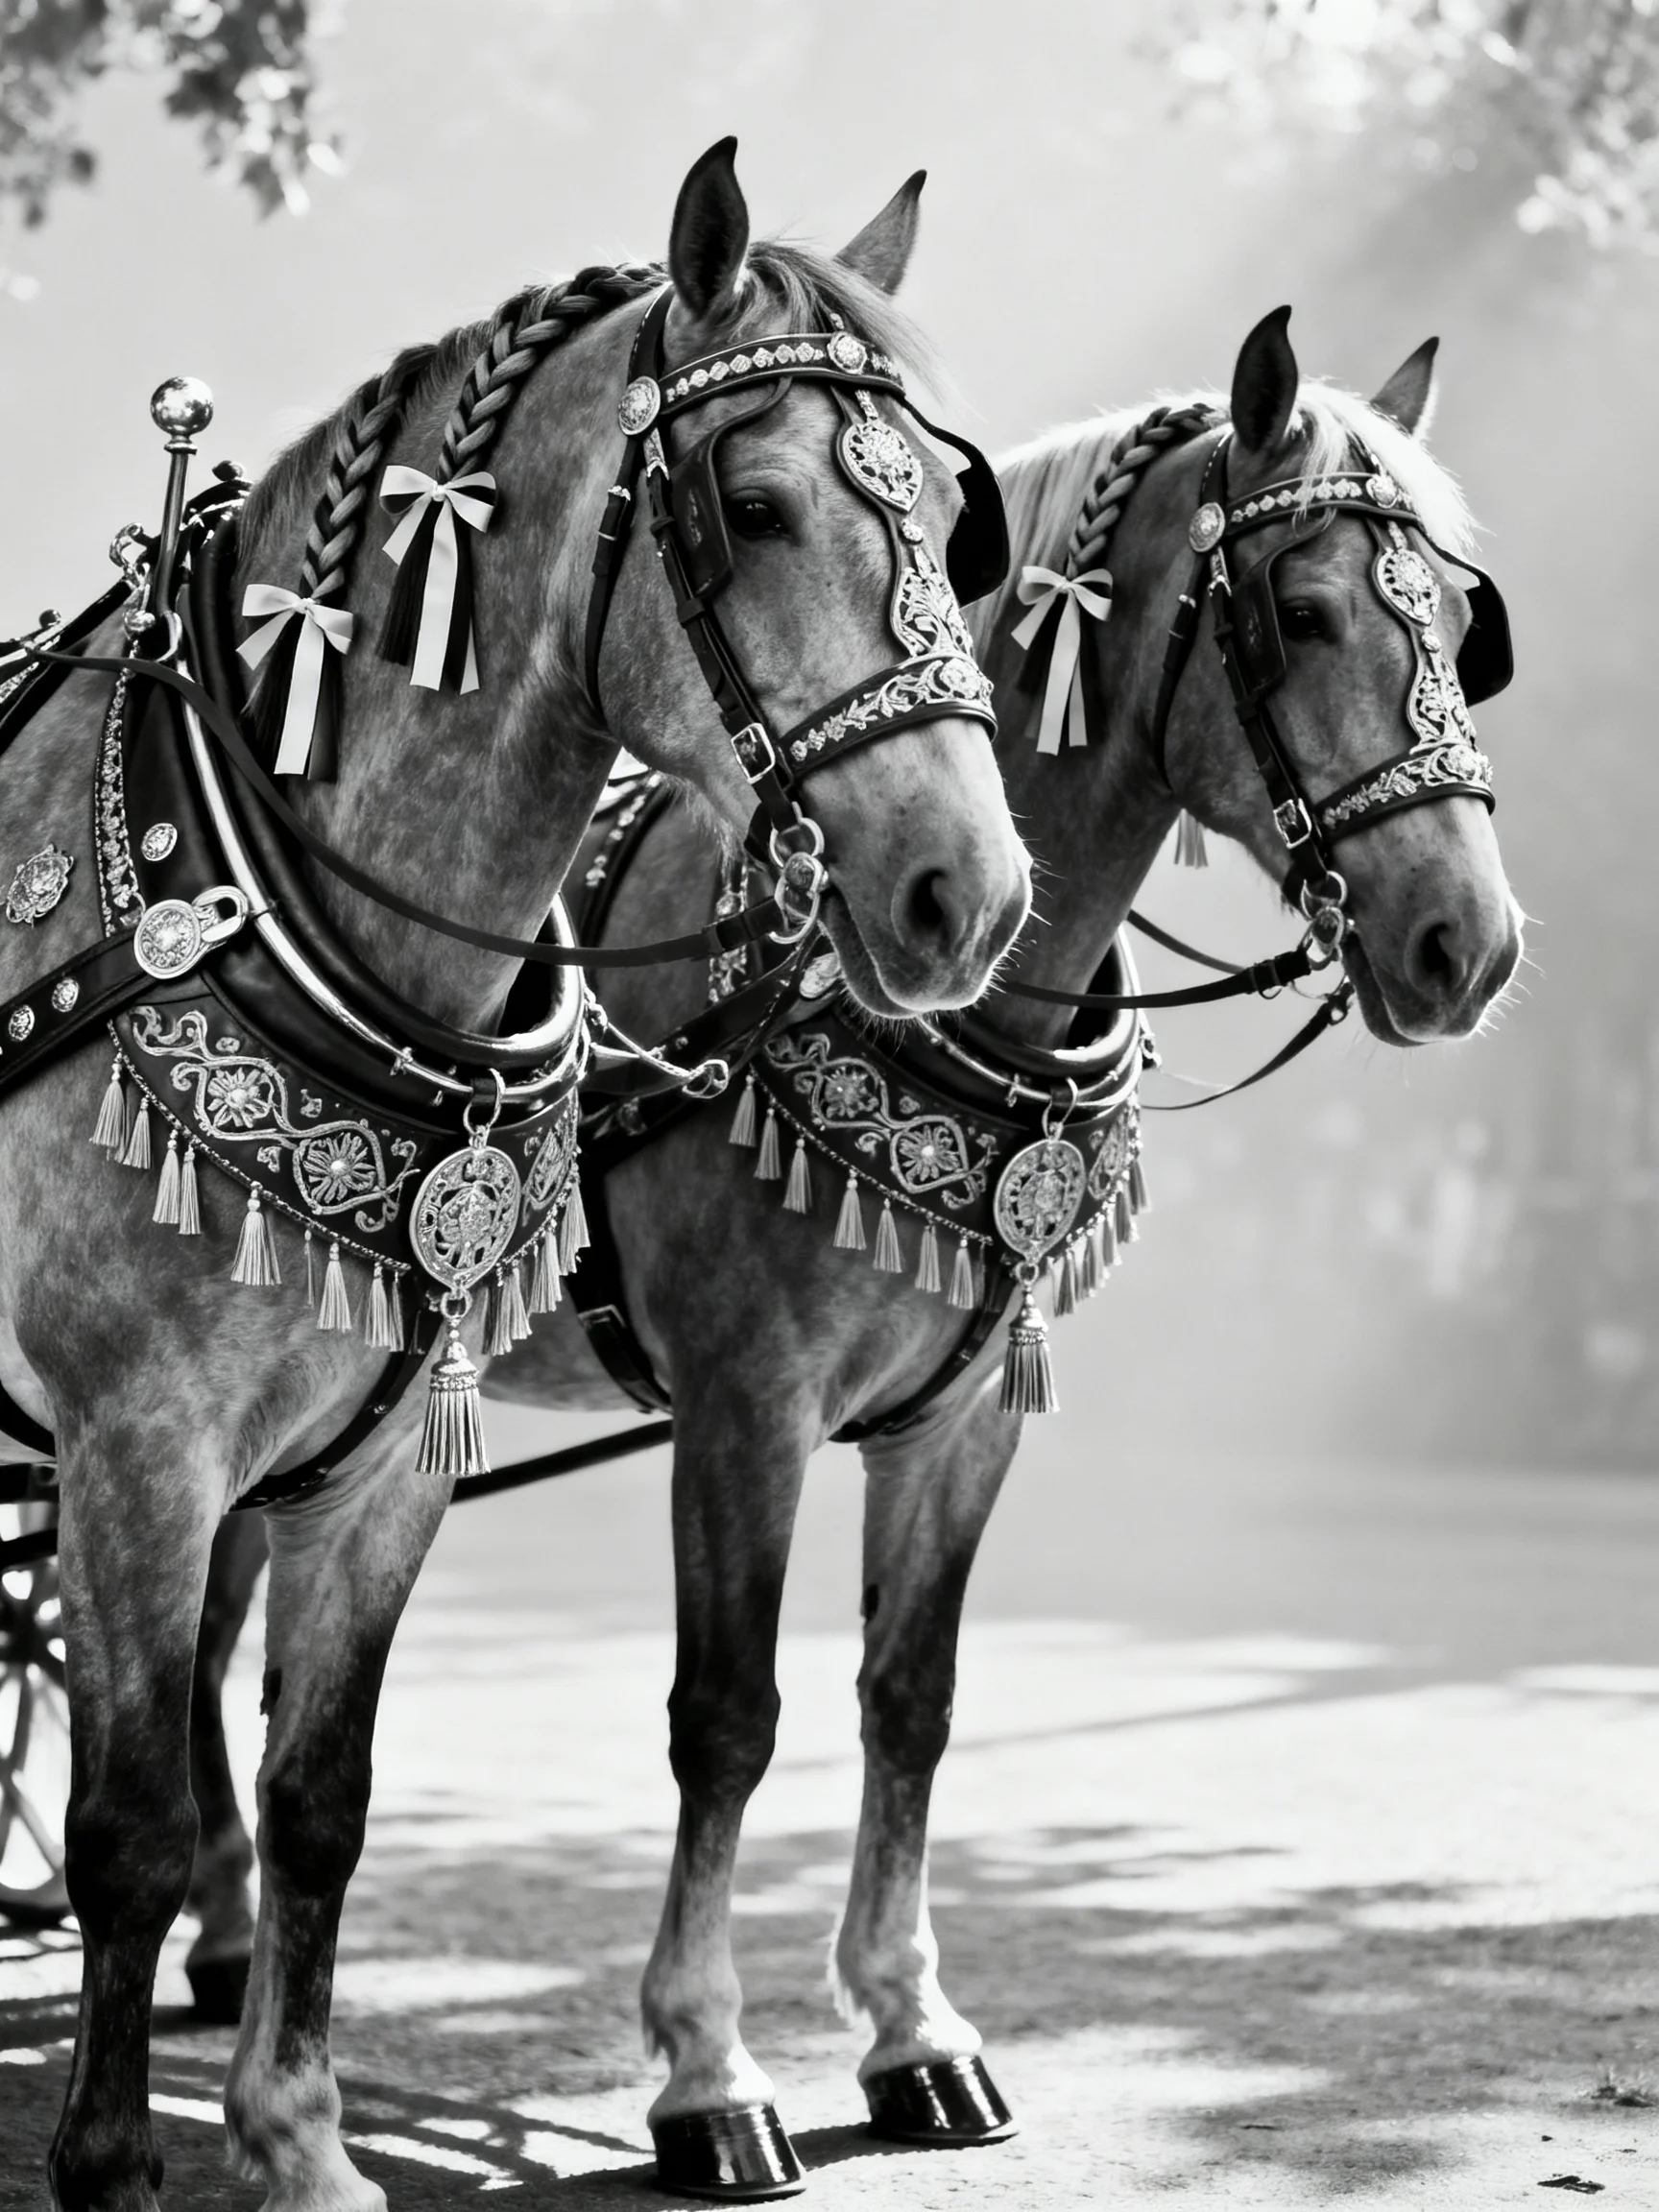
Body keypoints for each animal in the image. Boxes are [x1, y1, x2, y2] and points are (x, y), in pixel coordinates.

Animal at [0, 140, 1030, 2212]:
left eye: (955, 520)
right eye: (752, 502)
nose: (964, 893)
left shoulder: (386, 1450)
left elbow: (320, 1795)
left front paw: (299, 2140)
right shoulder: (132, 1441)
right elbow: (125, 1816)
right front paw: (115, 2159)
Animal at [173, 307, 1523, 2197]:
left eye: (1462, 635)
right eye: (1306, 611)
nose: (1468, 942)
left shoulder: (960, 1422)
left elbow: (911, 1697)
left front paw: (911, 2027)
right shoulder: (749, 1405)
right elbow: (728, 1716)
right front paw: (705, 2067)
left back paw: (228, 1934)